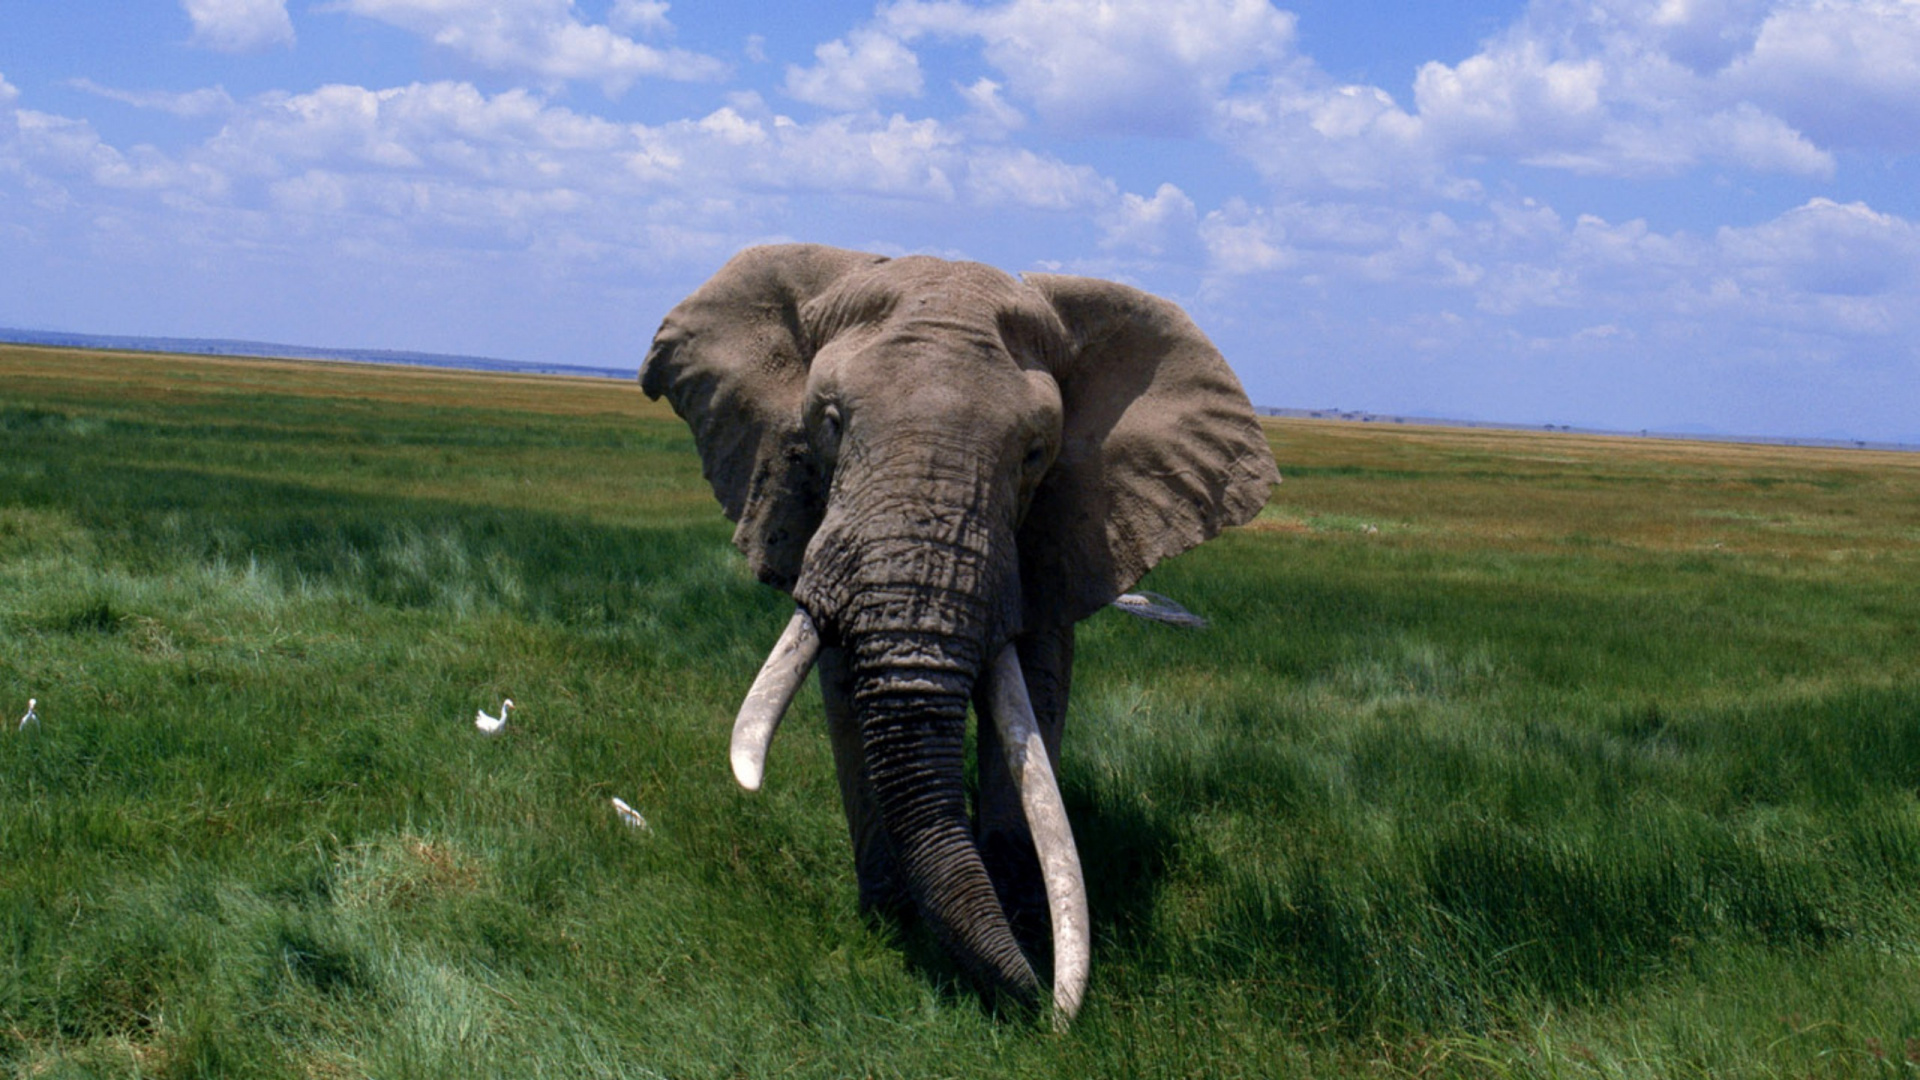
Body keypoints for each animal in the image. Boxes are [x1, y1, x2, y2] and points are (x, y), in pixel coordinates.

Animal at [637, 242, 1282, 1014]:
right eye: (830, 421)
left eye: (1035, 453)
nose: (1044, 1004)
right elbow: (842, 690)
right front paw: (891, 923)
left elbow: (1036, 689)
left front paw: (1025, 923)